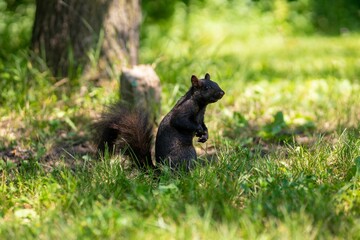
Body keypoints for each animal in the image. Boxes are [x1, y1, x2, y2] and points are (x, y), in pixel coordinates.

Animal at [94, 73, 224, 171]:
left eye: (216, 83)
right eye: (206, 88)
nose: (222, 92)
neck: (201, 106)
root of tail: (160, 171)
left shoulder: (201, 117)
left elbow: (203, 124)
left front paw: (205, 134)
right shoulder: (183, 111)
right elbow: (182, 122)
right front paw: (199, 130)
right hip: (187, 153)